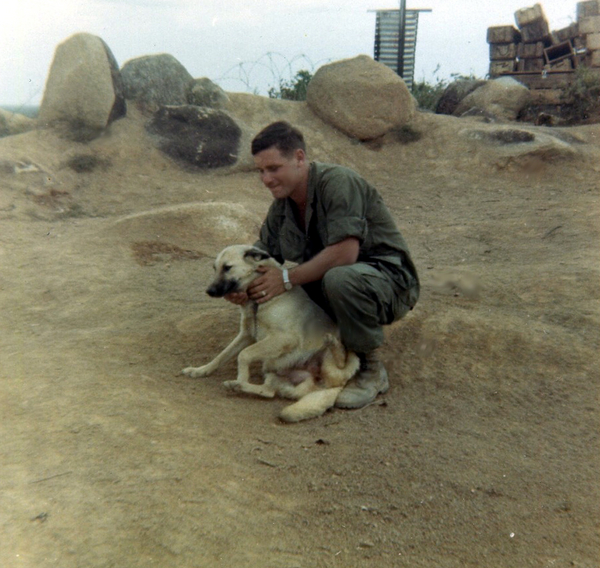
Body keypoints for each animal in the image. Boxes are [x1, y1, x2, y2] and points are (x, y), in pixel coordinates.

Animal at [183, 244, 358, 422]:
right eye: (214, 268)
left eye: (227, 267)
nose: (209, 291)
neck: (258, 301)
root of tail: (323, 385)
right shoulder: (246, 335)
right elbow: (222, 355)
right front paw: (201, 370)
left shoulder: (284, 338)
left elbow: (243, 355)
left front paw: (241, 376)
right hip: (273, 371)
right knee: (269, 392)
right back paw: (237, 386)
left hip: (340, 359)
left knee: (341, 363)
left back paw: (332, 342)